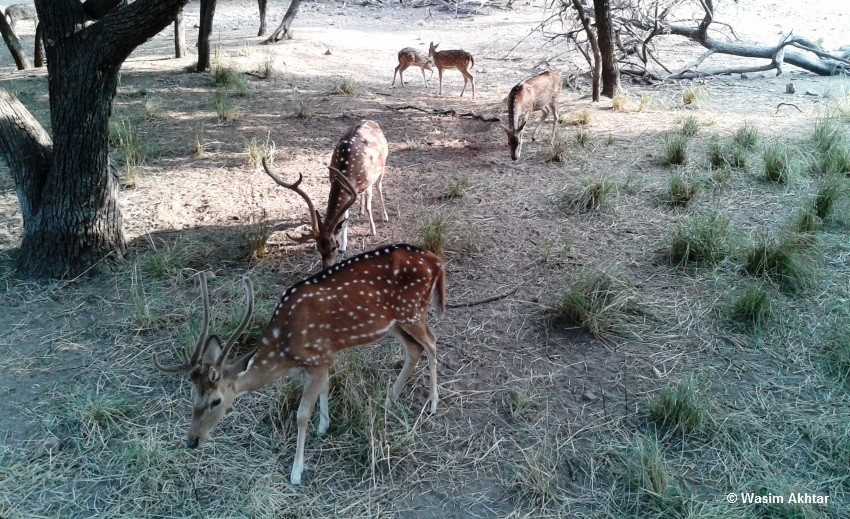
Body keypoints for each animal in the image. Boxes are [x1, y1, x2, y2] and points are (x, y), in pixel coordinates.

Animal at [153, 244, 446, 485]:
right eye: (191, 396)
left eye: (216, 400)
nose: (192, 441)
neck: (284, 351)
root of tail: (436, 261)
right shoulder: (323, 359)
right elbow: (325, 388)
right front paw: (324, 426)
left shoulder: (318, 358)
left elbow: (302, 414)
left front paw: (296, 472)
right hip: (395, 323)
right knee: (414, 349)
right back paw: (388, 400)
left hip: (413, 312)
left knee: (432, 342)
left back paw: (432, 404)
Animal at [263, 120, 390, 268]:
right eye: (318, 248)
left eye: (333, 247)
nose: (326, 267)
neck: (349, 170)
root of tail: (371, 121)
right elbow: (345, 216)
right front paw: (344, 246)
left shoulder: (368, 181)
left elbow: (369, 206)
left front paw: (373, 230)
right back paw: (361, 211)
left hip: (382, 166)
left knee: (379, 187)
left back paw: (384, 216)